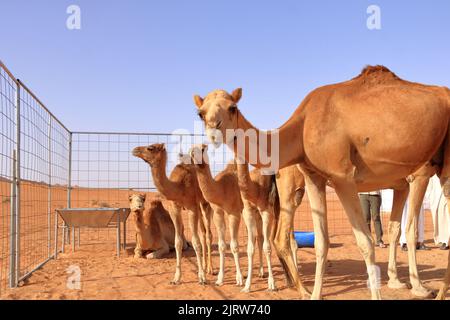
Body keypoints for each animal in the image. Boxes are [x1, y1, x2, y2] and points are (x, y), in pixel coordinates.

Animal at [133, 144, 214, 284]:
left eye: (150, 148)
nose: (135, 150)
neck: (178, 187)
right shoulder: (174, 208)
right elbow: (178, 242)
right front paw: (176, 278)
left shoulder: (192, 207)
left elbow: (195, 241)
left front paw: (202, 278)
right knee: (203, 233)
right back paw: (203, 266)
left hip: (204, 204)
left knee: (208, 234)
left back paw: (210, 269)